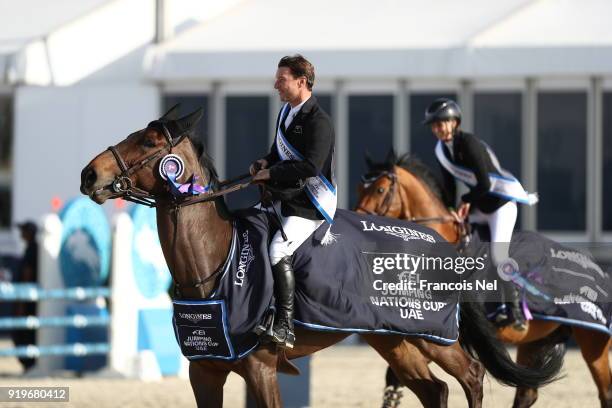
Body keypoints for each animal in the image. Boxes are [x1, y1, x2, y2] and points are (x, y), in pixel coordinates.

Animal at [80, 107, 564, 406]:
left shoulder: (260, 369)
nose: (89, 174)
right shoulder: (206, 373)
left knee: (473, 376)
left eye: (147, 143)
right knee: (435, 391)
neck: (215, 265)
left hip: (434, 335)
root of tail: (439, 245)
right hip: (394, 341)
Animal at [354, 152, 612, 408]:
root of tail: (599, 271)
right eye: (359, 189)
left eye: (379, 189)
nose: (357, 222)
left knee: (605, 391)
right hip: (537, 341)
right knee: (527, 393)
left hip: (593, 340)